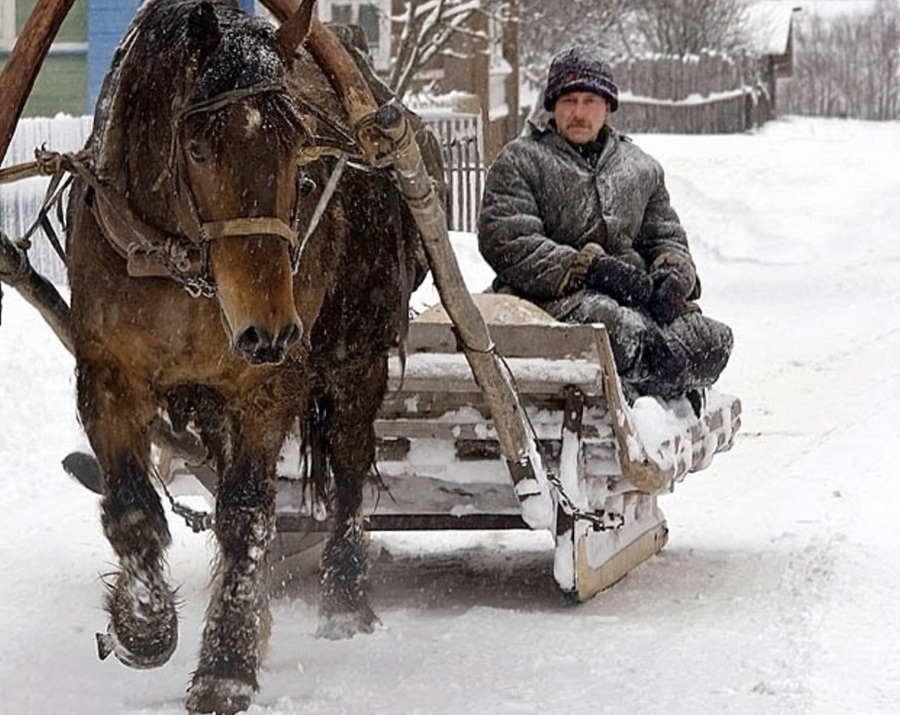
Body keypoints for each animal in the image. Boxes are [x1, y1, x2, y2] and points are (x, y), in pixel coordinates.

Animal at [67, 2, 426, 712]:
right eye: (200, 148)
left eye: (300, 153)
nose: (270, 330)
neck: (178, 267)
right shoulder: (107, 374)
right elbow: (133, 508)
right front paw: (143, 623)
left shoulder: (266, 387)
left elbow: (245, 515)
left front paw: (226, 665)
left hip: (355, 357)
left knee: (349, 467)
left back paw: (344, 599)